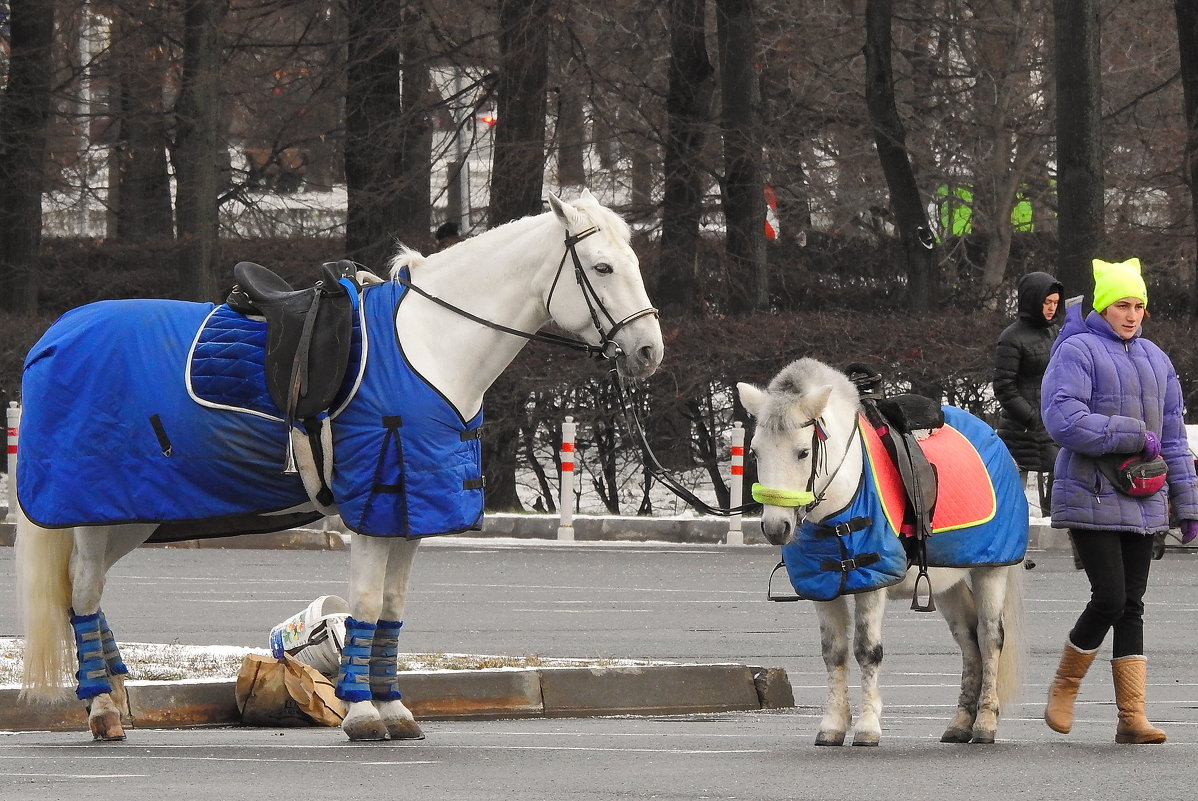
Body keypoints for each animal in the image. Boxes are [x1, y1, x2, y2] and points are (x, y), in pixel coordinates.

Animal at [16, 190, 666, 742]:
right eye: (602, 268)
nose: (648, 352)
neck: (428, 346)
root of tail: (56, 334)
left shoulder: (408, 512)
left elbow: (393, 611)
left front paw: (393, 707)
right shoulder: (376, 503)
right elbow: (368, 605)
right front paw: (360, 712)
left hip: (132, 514)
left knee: (87, 593)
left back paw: (111, 691)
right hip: (97, 509)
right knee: (83, 591)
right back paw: (102, 707)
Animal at [733, 356, 1025, 742]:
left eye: (803, 452)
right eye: (754, 452)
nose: (775, 526)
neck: (840, 502)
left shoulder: (872, 582)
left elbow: (867, 651)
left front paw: (868, 726)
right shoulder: (822, 588)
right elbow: (834, 653)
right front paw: (833, 725)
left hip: (990, 571)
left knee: (990, 637)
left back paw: (985, 723)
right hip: (948, 582)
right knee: (968, 640)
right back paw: (961, 722)